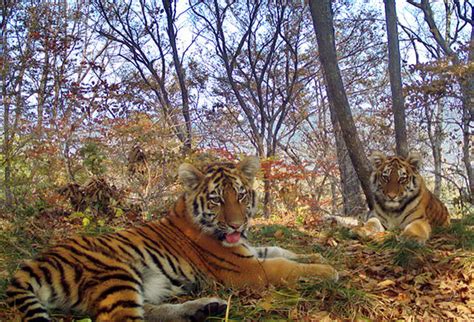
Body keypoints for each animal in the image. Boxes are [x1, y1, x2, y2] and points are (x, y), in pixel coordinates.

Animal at [8, 157, 340, 322]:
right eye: (217, 199)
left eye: (241, 195)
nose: (237, 224)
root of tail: (35, 262)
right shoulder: (247, 270)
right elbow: (285, 265)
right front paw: (328, 270)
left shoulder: (248, 250)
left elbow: (280, 249)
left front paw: (317, 256)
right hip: (115, 273)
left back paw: (204, 309)